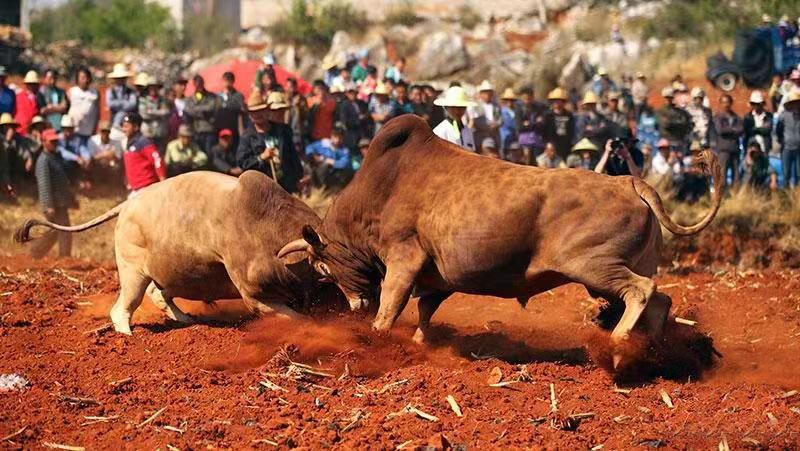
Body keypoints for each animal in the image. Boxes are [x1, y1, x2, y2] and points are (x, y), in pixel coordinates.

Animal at [278, 115, 720, 370]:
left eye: (322, 266)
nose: (354, 305)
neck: (380, 187)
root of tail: (628, 181)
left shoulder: (404, 260)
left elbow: (391, 307)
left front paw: (375, 341)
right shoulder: (435, 278)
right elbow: (425, 311)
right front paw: (420, 345)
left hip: (595, 268)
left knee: (643, 291)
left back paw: (617, 345)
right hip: (612, 271)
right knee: (660, 299)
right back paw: (651, 351)